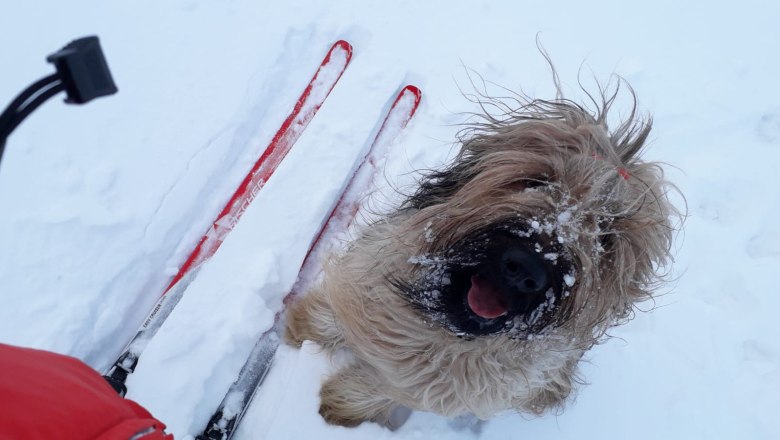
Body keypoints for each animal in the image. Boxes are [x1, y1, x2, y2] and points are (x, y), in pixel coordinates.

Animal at [284, 78, 680, 426]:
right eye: (537, 181)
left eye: (605, 236)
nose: (526, 269)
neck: (443, 326)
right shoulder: (367, 279)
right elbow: (334, 310)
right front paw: (300, 329)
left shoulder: (434, 385)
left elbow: (384, 388)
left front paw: (339, 406)